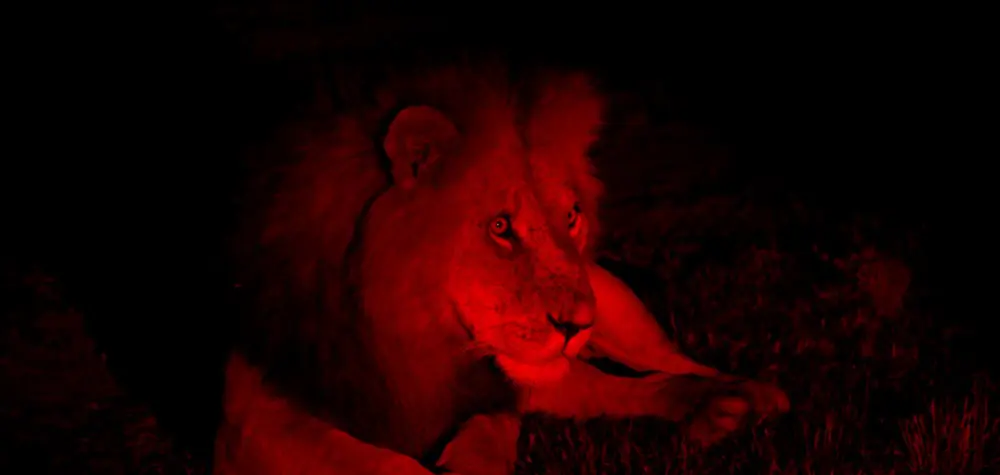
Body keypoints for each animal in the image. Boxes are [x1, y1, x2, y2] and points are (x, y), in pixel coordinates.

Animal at [214, 59, 789, 475]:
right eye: (499, 227)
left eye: (571, 216)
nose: (577, 326)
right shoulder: (250, 422)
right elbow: (390, 465)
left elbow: (506, 422)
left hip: (612, 306)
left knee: (668, 364)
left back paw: (747, 397)